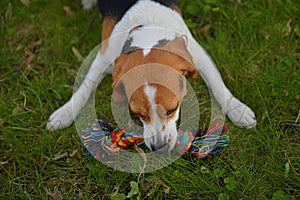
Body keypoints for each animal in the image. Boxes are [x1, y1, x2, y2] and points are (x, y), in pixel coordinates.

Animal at [46, 0, 255, 150]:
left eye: (172, 110)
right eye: (138, 114)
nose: (158, 147)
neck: (147, 26)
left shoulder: (197, 55)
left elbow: (218, 85)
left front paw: (238, 109)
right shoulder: (104, 57)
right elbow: (85, 87)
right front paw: (64, 113)